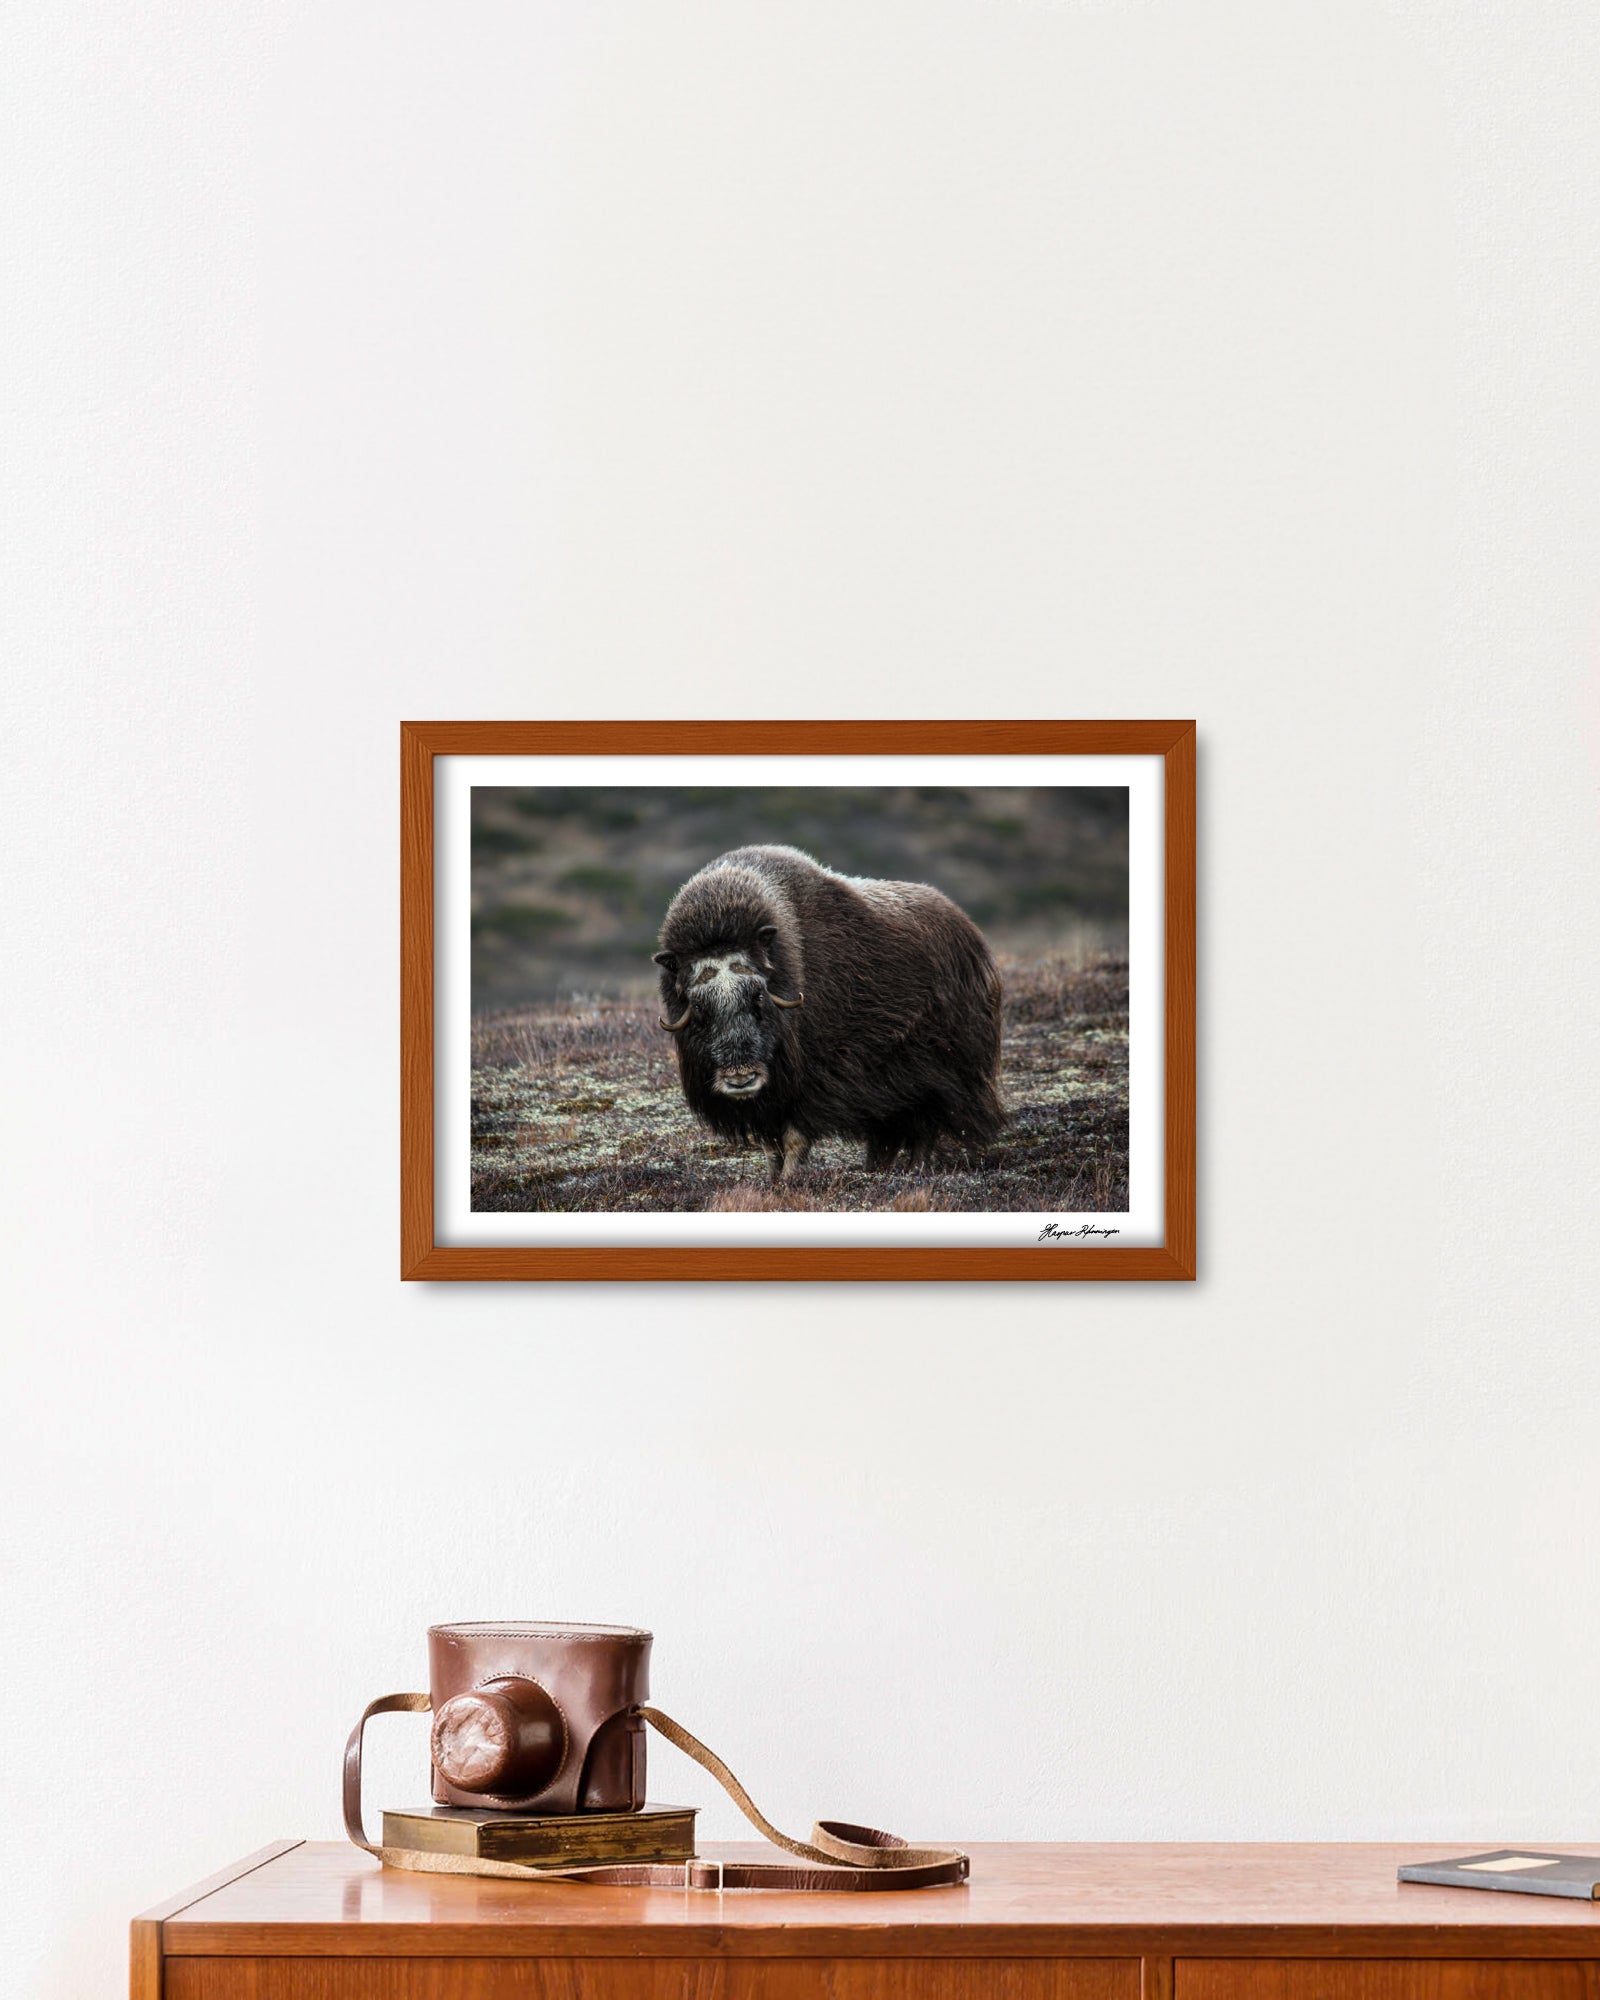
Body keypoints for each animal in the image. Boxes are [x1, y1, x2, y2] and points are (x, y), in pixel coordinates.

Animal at [653, 844, 1003, 1181]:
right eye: (700, 1007)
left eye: (758, 996)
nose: (741, 1078)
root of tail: (971, 933)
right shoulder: (770, 1099)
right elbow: (770, 1146)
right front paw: (772, 1181)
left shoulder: (814, 1081)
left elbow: (794, 1136)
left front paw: (790, 1181)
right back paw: (877, 1169)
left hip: (940, 1073)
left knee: (926, 1126)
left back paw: (914, 1170)